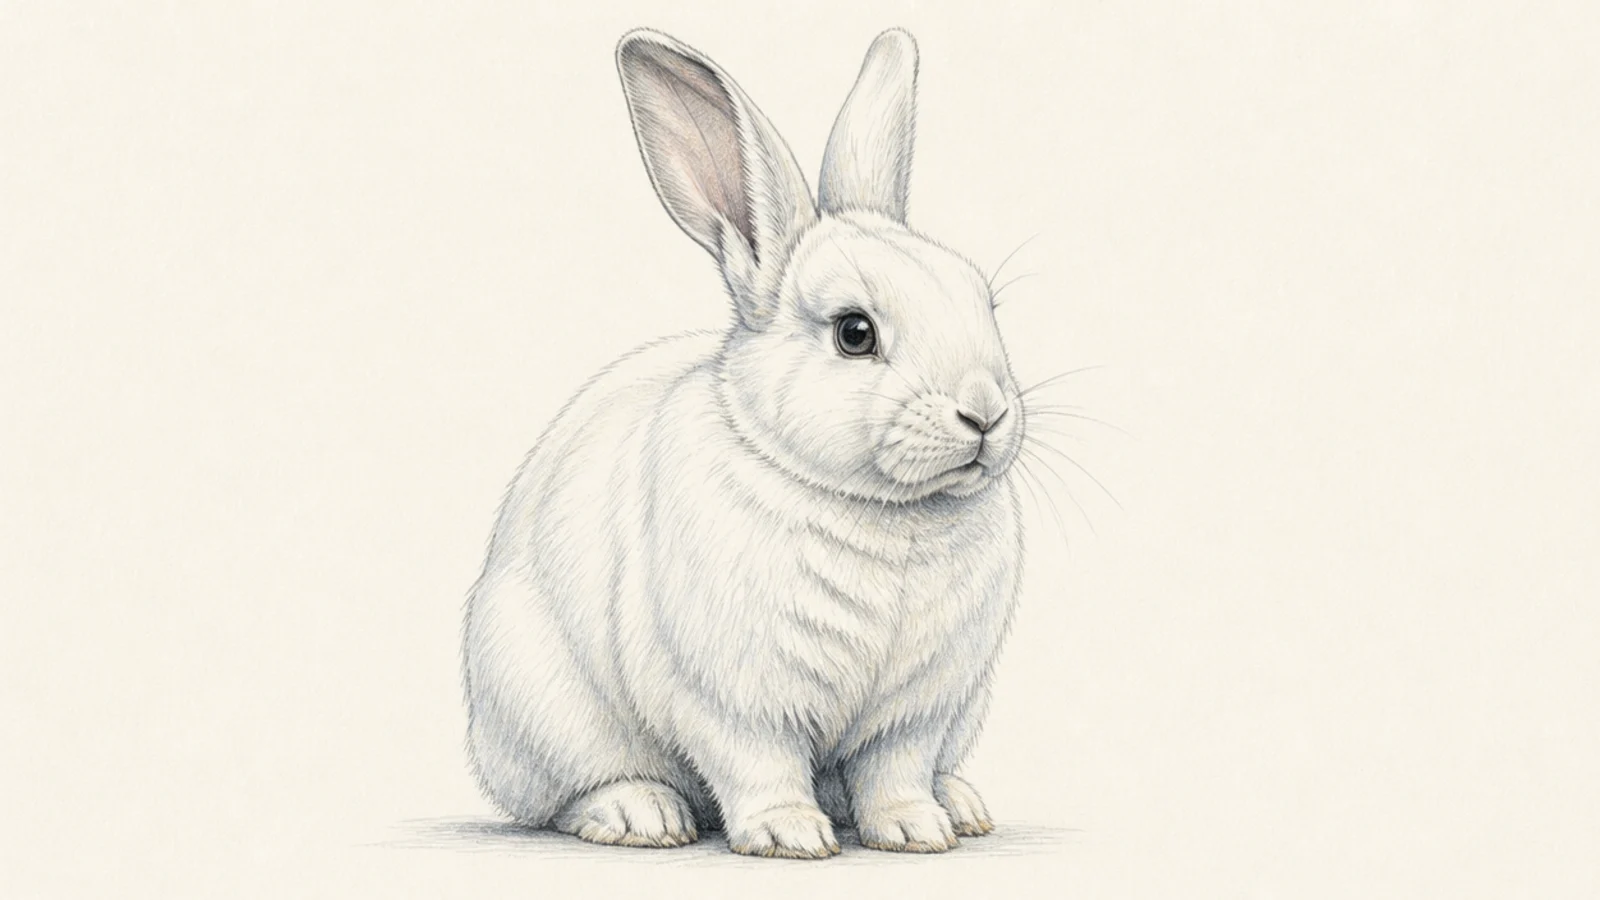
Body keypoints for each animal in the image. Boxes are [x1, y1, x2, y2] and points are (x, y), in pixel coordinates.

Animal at [461, 27, 1027, 859]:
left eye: (983, 301)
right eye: (854, 333)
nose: (985, 413)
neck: (882, 510)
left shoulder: (917, 708)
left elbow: (893, 769)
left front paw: (915, 830)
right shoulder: (733, 697)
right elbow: (758, 762)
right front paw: (791, 836)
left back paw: (958, 803)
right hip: (538, 705)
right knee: (562, 796)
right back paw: (641, 814)